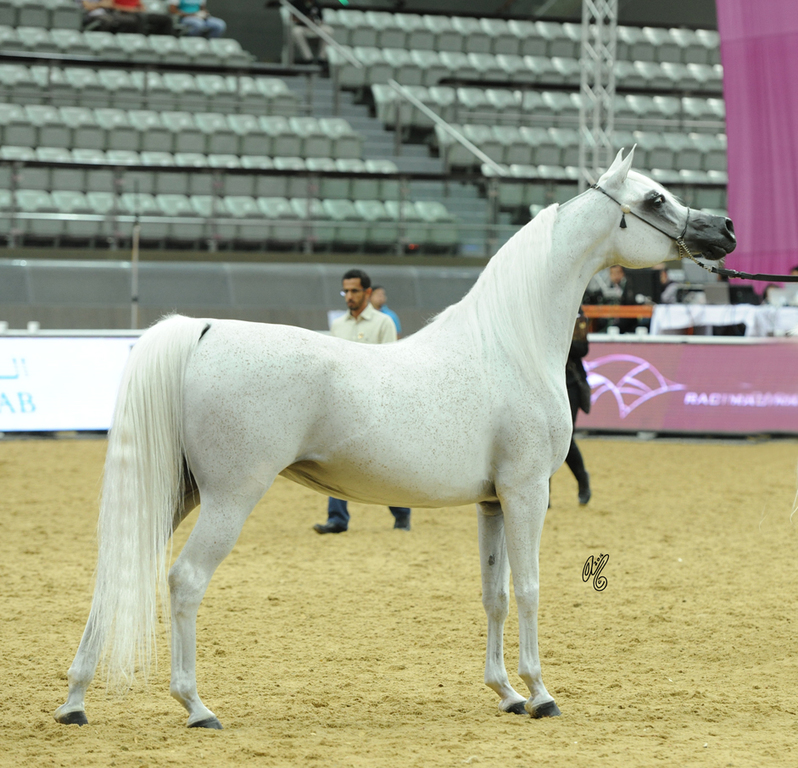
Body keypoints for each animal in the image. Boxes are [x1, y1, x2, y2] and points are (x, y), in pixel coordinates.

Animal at [54, 149, 736, 729]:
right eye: (654, 198)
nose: (724, 229)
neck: (509, 345)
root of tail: (204, 330)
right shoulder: (526, 492)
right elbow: (530, 588)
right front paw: (541, 693)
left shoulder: (492, 502)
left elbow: (494, 593)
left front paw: (505, 693)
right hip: (229, 497)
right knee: (185, 580)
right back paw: (196, 706)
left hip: (179, 491)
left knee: (117, 570)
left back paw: (75, 702)